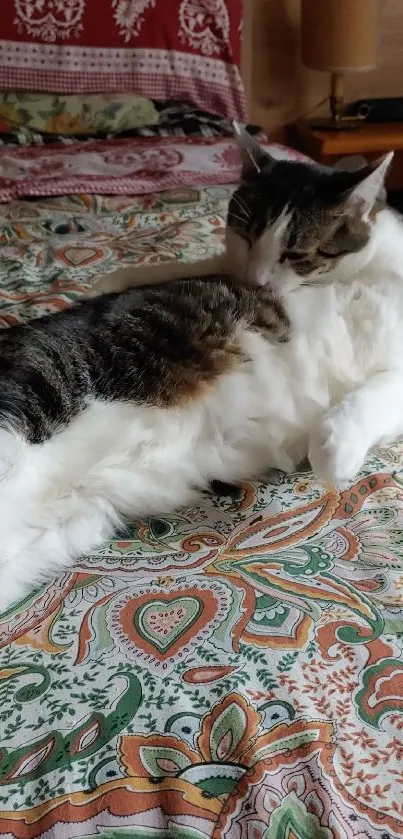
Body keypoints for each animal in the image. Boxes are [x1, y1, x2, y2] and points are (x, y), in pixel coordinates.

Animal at [0, 131, 400, 612]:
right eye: (247, 238)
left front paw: (335, 444)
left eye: (296, 254)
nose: (259, 281)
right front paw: (333, 451)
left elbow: (378, 392)